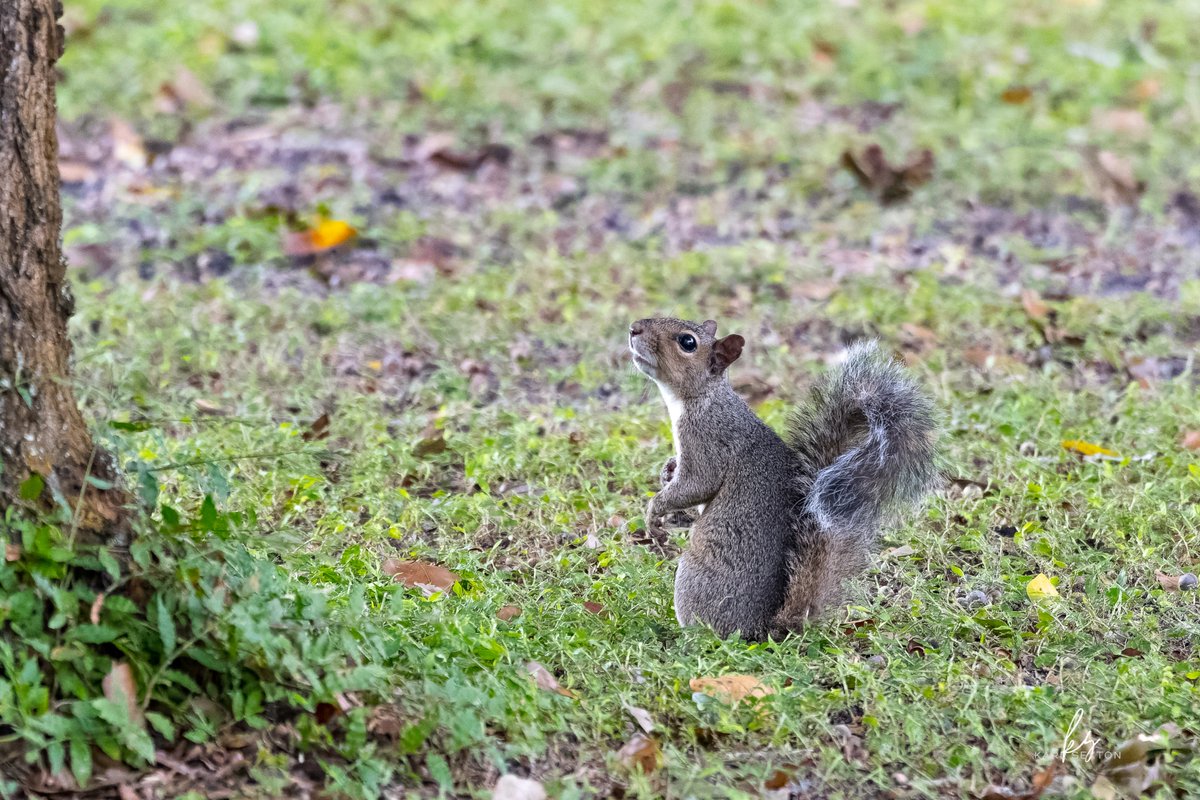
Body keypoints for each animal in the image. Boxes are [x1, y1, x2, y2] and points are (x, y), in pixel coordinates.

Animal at [629, 317, 938, 640]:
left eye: (687, 343)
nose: (634, 329)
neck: (701, 399)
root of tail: (765, 629)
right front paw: (667, 470)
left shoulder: (709, 443)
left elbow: (697, 485)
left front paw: (655, 511)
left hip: (693, 578)